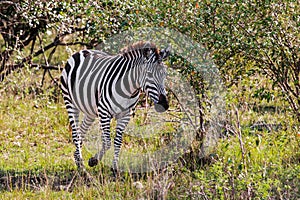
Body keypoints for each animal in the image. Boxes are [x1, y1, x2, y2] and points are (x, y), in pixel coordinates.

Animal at [60, 41, 171, 173]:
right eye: (149, 74)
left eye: (164, 74)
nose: (164, 105)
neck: (130, 90)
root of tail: (82, 51)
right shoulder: (104, 112)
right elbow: (107, 142)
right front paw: (94, 161)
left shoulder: (125, 115)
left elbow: (117, 141)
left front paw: (115, 168)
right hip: (70, 103)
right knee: (75, 134)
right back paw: (81, 167)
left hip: (91, 111)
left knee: (81, 131)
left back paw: (78, 160)